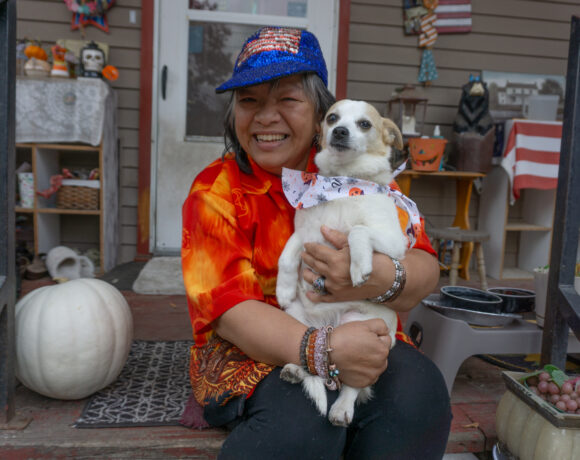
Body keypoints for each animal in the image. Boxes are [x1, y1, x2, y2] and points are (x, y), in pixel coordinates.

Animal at [276, 99, 408, 426]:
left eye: (365, 124)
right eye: (332, 118)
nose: (340, 131)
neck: (343, 184)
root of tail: (330, 326)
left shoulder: (393, 239)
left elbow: (358, 230)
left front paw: (359, 267)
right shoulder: (305, 232)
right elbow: (287, 254)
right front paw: (283, 288)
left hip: (365, 335)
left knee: (353, 384)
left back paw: (341, 409)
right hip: (299, 321)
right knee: (314, 353)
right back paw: (296, 369)